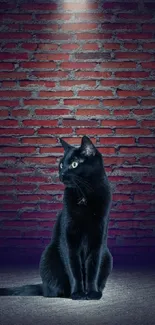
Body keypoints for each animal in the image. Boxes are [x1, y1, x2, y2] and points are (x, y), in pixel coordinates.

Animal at [0, 135, 112, 300]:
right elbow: (74, 269)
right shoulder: (68, 239)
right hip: (48, 254)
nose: (62, 173)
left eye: (74, 164)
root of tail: (43, 287)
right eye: (61, 165)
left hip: (108, 256)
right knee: (53, 290)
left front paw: (92, 293)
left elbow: (93, 269)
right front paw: (78, 293)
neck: (84, 195)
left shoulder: (98, 239)